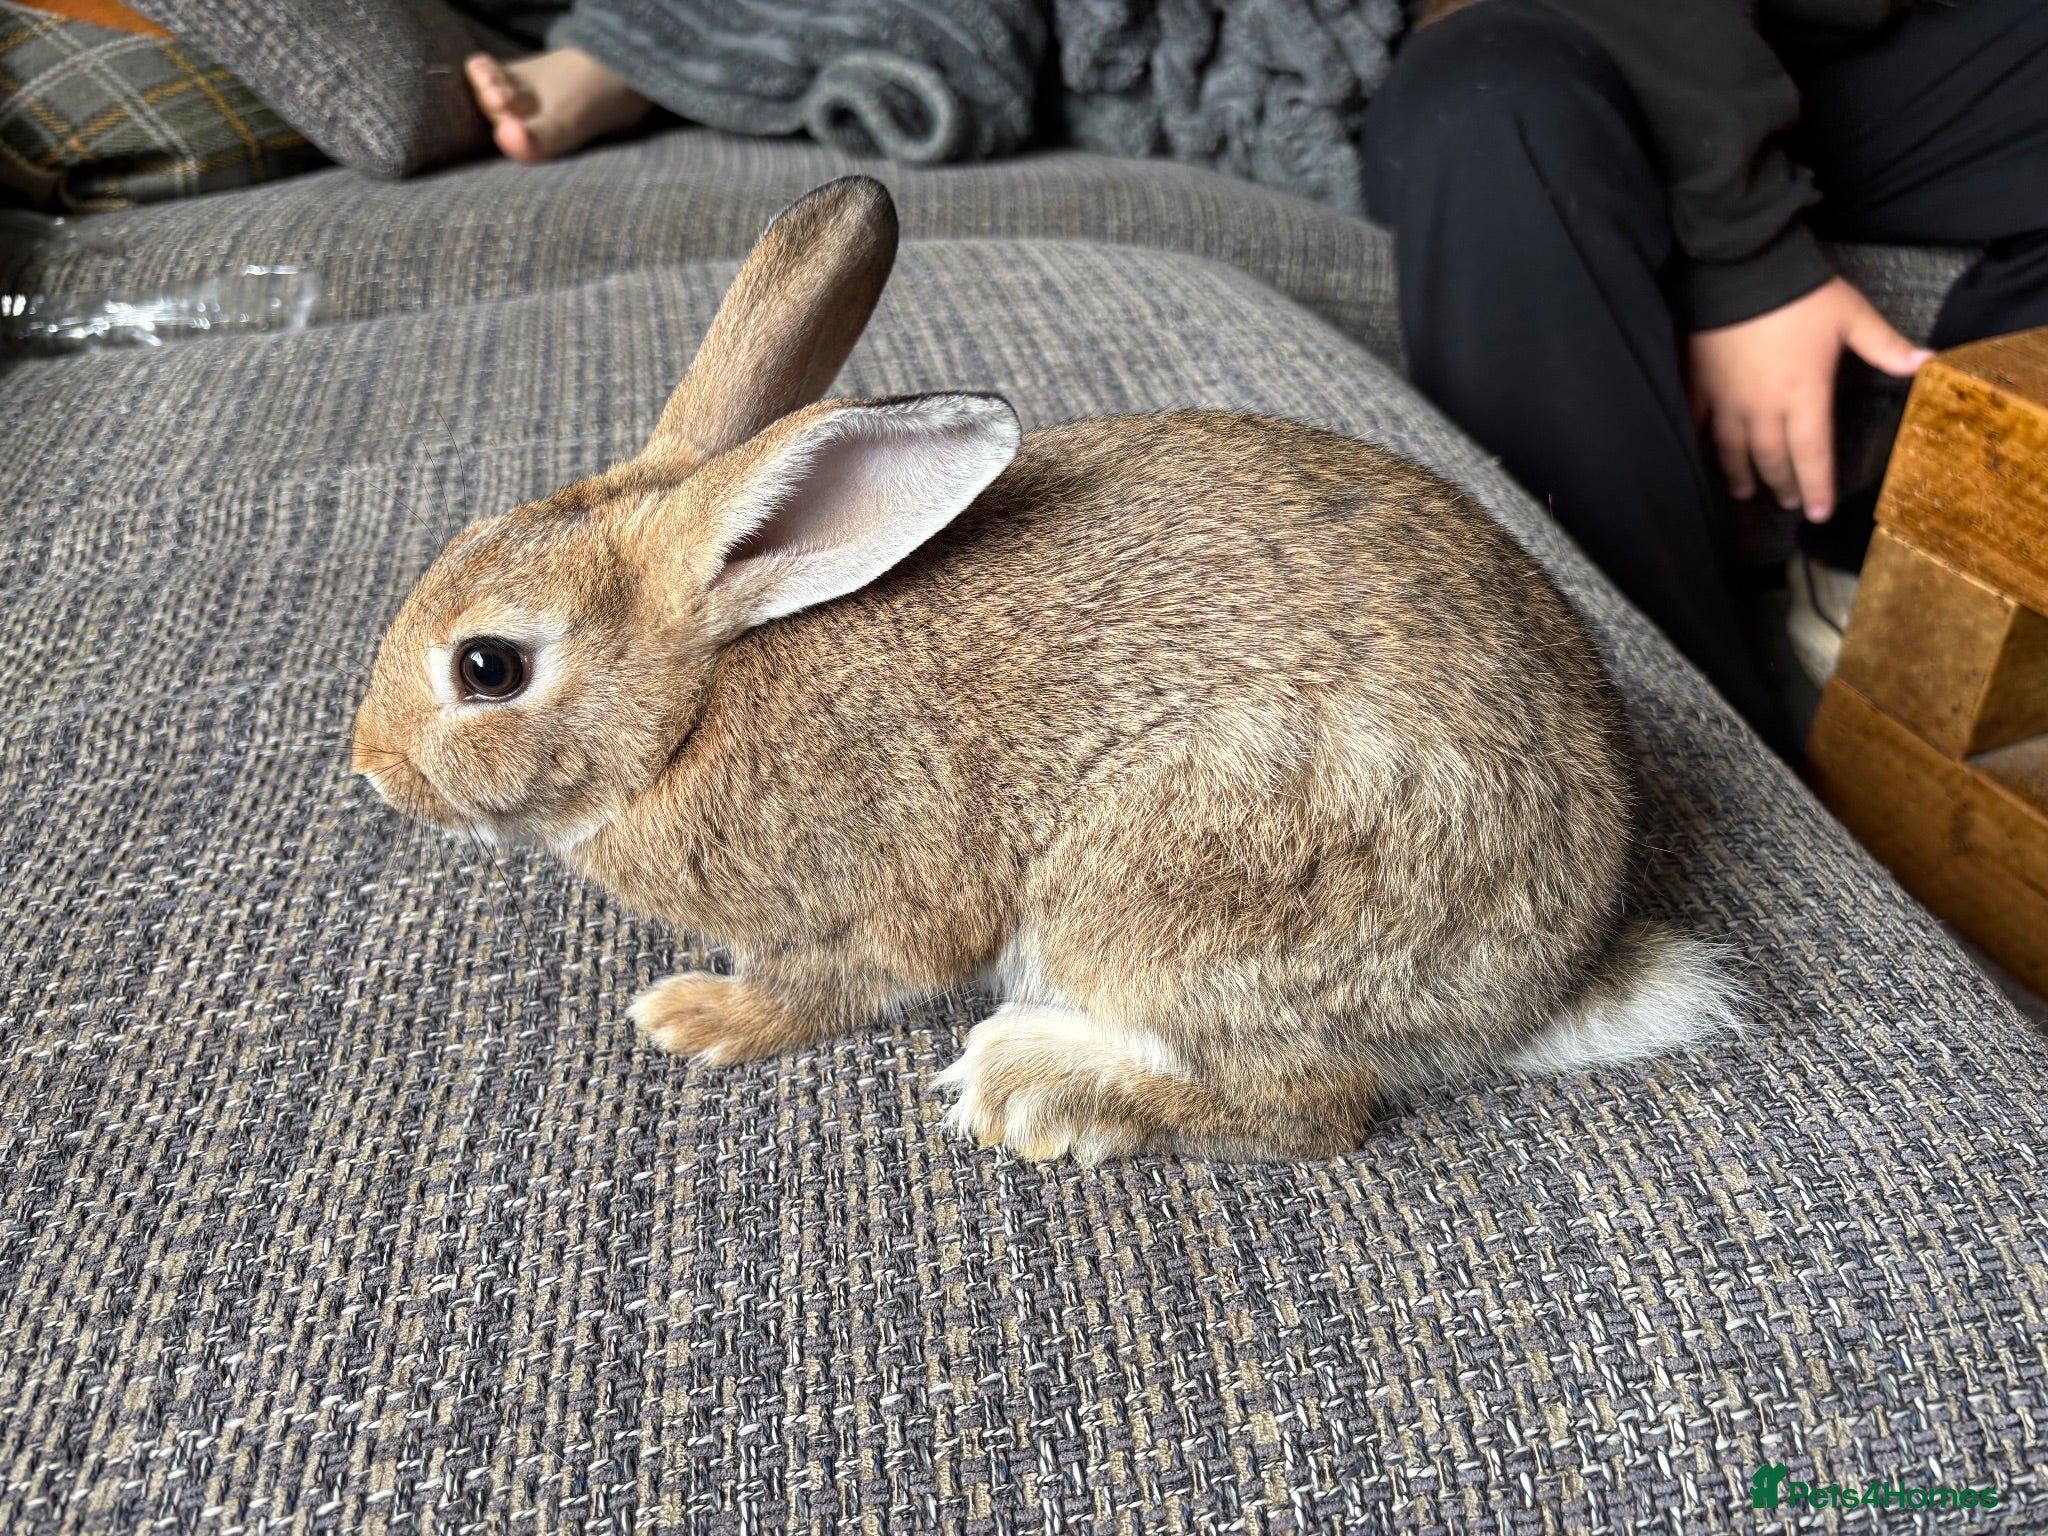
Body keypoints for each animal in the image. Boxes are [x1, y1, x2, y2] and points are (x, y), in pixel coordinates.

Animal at [353, 175, 1740, 1164]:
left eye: (488, 668)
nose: (369, 773)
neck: (693, 704)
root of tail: (1548, 986)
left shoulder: (871, 906)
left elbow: (826, 988)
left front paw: (693, 1018)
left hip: (1179, 881)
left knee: (1310, 1108)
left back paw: (1037, 1090)